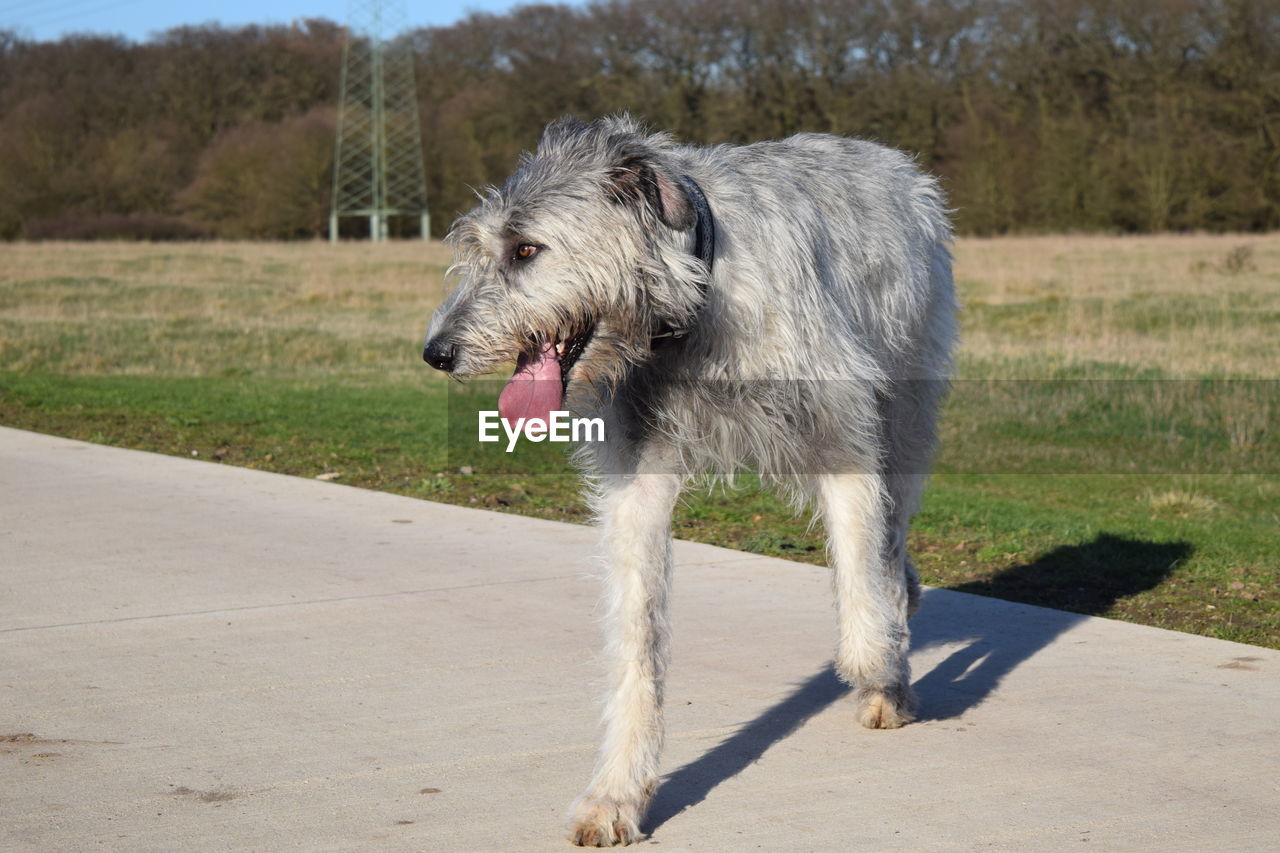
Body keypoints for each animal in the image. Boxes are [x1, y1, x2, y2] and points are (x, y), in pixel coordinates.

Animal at [424, 114, 957, 845]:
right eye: (478, 248)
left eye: (526, 249)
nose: (436, 352)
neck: (688, 316)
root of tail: (897, 161)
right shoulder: (637, 479)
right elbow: (637, 640)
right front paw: (616, 794)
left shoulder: (841, 428)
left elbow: (861, 588)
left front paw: (881, 659)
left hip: (907, 405)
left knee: (890, 529)